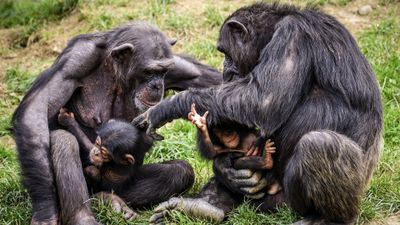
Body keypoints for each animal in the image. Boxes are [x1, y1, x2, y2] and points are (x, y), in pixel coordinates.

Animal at [11, 21, 222, 225]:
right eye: (149, 72)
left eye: (163, 72)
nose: (157, 85)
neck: (115, 69)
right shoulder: (75, 60)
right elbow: (37, 109)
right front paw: (45, 211)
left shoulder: (176, 65)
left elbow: (211, 81)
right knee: (63, 140)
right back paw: (84, 216)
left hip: (118, 186)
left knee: (179, 171)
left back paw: (112, 201)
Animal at [135, 3, 384, 225]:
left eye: (226, 52)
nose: (225, 68)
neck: (272, 33)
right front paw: (225, 169)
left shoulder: (293, 36)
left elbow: (262, 100)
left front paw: (166, 107)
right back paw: (201, 207)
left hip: (286, 202)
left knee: (319, 144)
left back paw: (326, 219)